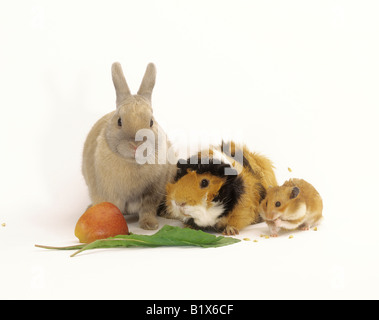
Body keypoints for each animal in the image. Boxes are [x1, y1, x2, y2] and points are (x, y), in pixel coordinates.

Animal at [83, 61, 177, 229]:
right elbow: (109, 208)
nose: (136, 145)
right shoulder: (106, 192)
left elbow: (147, 209)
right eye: (119, 121)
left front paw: (150, 225)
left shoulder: (153, 192)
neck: (132, 162)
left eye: (151, 122)